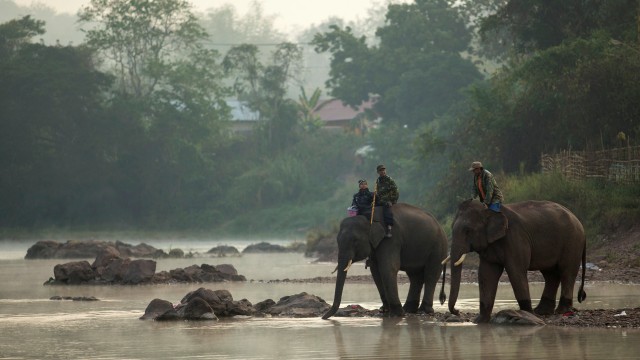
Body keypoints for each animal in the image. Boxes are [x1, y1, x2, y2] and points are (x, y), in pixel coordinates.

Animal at [320, 204, 450, 320]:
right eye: (337, 240)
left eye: (355, 241)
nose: (323, 318)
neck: (369, 217)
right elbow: (375, 271)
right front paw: (385, 311)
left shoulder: (391, 238)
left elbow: (388, 267)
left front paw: (397, 314)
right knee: (415, 276)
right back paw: (409, 309)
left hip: (438, 247)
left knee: (431, 274)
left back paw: (423, 311)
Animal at [448, 200, 588, 324]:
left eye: (468, 230)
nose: (457, 310)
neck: (489, 209)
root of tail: (579, 222)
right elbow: (486, 274)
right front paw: (479, 322)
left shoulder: (515, 237)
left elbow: (516, 271)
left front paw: (528, 314)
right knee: (551, 275)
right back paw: (542, 311)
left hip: (573, 242)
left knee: (567, 272)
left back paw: (560, 311)